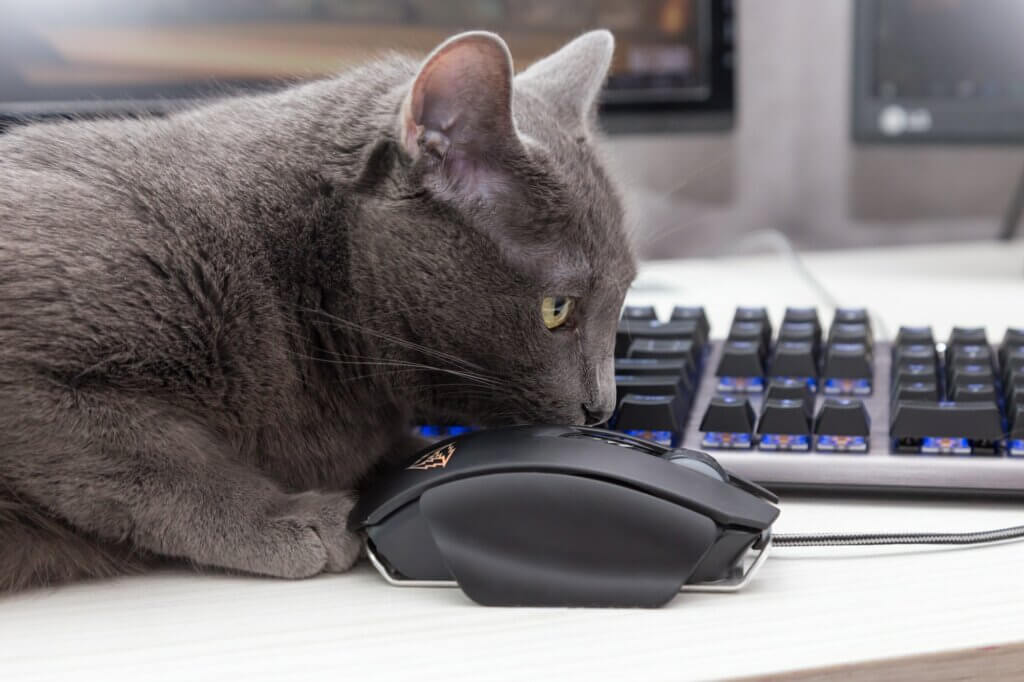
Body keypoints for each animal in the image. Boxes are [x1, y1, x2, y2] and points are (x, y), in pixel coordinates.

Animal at [0, 29, 634, 585]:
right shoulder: (29, 376)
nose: (603, 408)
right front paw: (287, 518)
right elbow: (158, 460)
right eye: (557, 309)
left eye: (625, 295)